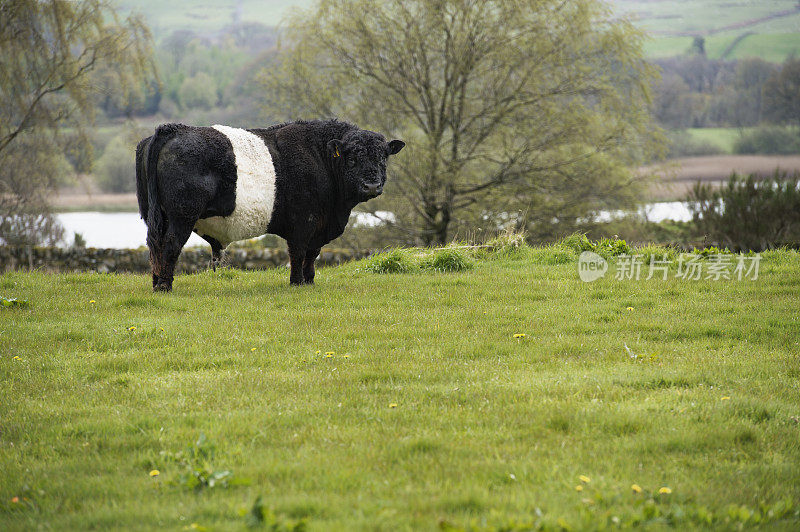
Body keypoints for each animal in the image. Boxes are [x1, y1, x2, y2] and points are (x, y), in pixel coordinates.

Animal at [135, 119, 406, 290]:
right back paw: (165, 286)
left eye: (383, 158)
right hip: (182, 215)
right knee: (170, 245)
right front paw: (297, 282)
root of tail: (172, 129)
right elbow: (299, 253)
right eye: (351, 159)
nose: (372, 186)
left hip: (155, 215)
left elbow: (312, 254)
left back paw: (156, 283)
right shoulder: (304, 222)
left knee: (155, 246)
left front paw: (310, 281)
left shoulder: (318, 226)